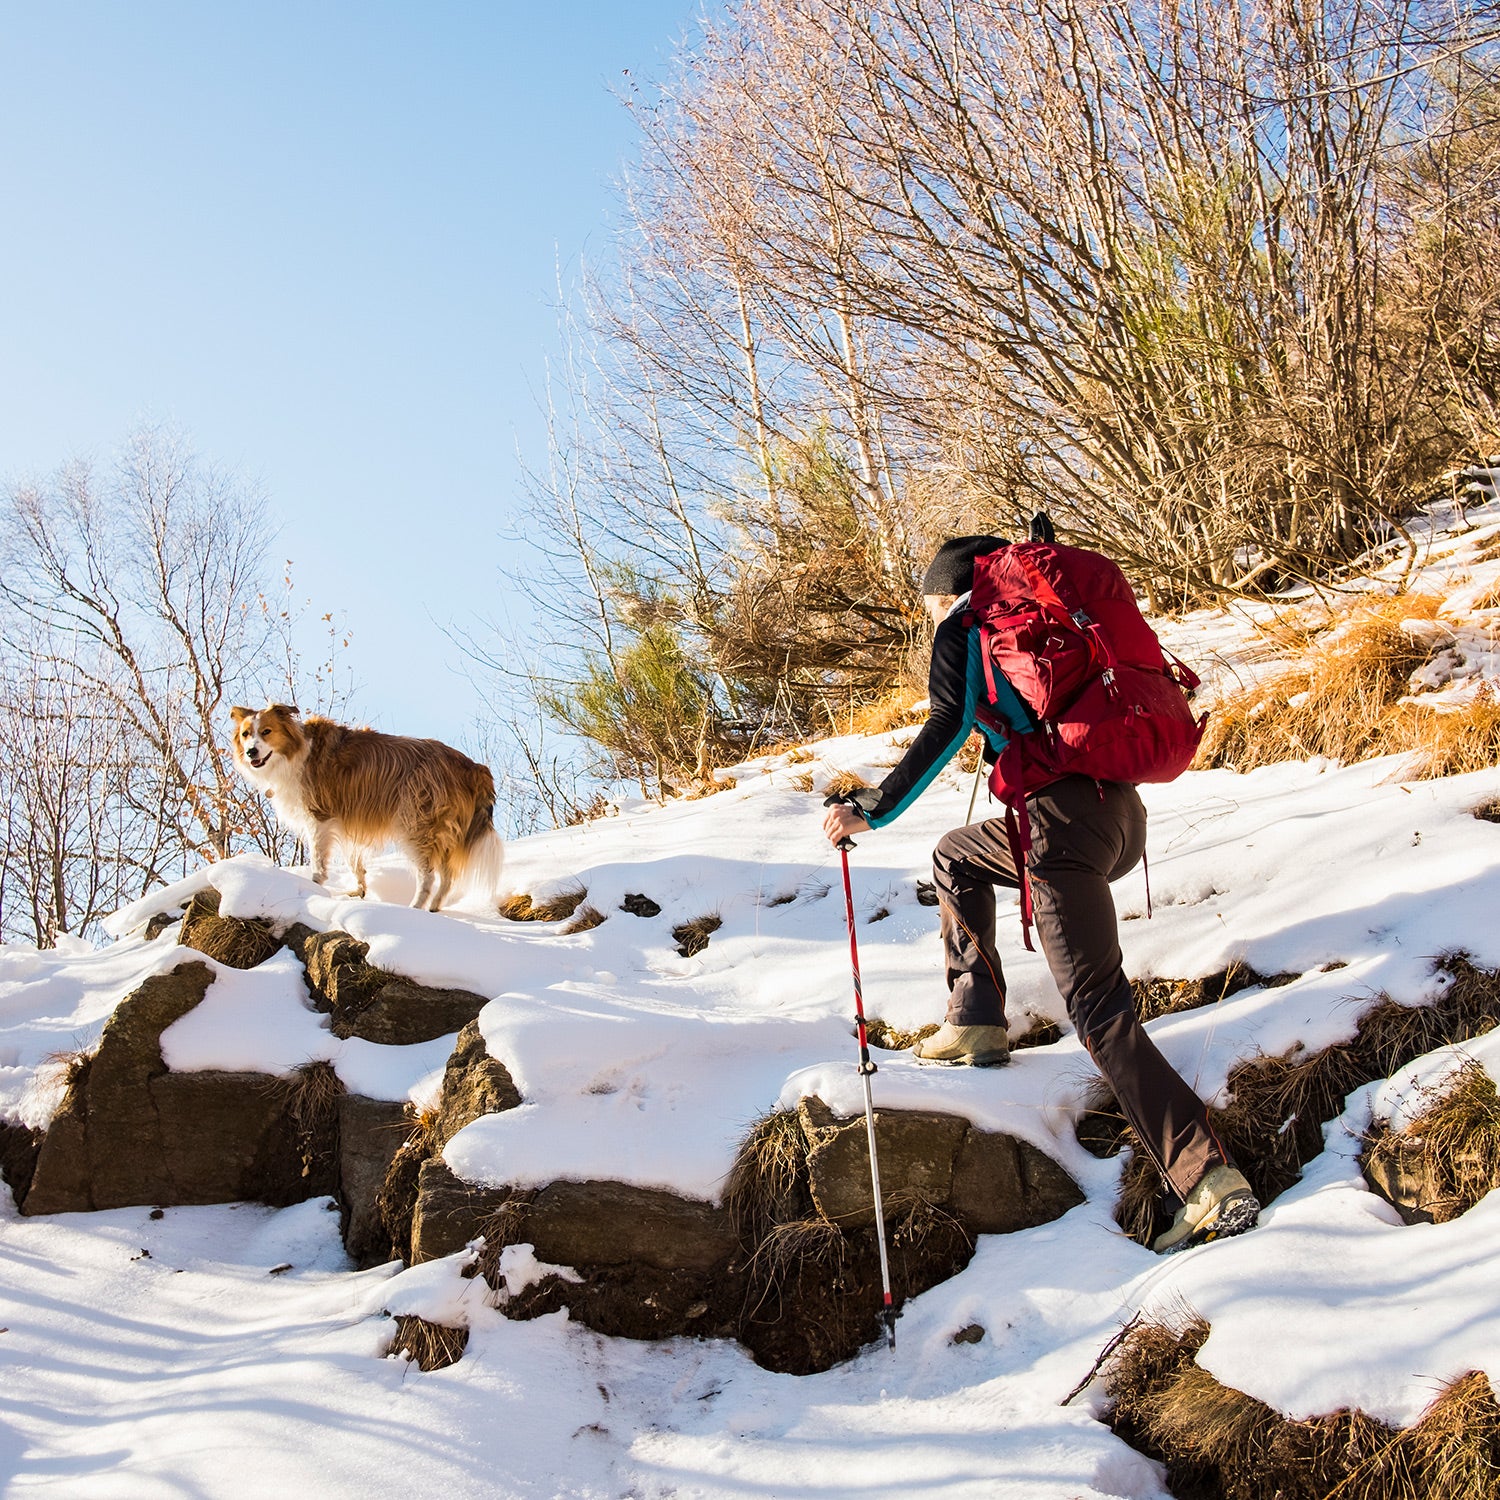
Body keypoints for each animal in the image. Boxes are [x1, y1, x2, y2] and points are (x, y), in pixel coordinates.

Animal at [229, 702, 504, 912]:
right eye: (245, 734)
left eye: (266, 731)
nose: (251, 752)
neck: (296, 751)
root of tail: (473, 766)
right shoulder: (346, 821)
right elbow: (354, 862)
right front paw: (359, 890)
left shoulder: (320, 818)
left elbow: (318, 859)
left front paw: (314, 887)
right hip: (445, 833)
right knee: (447, 877)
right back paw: (434, 909)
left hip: (415, 824)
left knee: (428, 875)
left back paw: (415, 909)